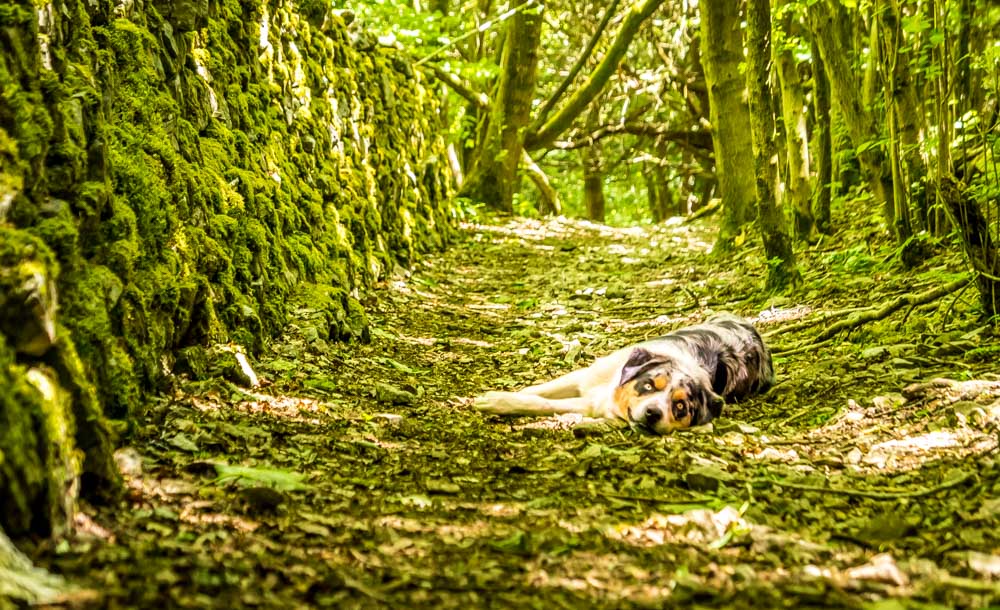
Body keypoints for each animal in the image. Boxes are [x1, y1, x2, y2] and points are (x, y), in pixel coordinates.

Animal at [474, 314, 772, 432]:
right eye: (649, 385)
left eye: (680, 407)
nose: (653, 413)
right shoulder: (585, 375)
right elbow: (537, 389)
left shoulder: (591, 403)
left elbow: (542, 402)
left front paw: (496, 401)